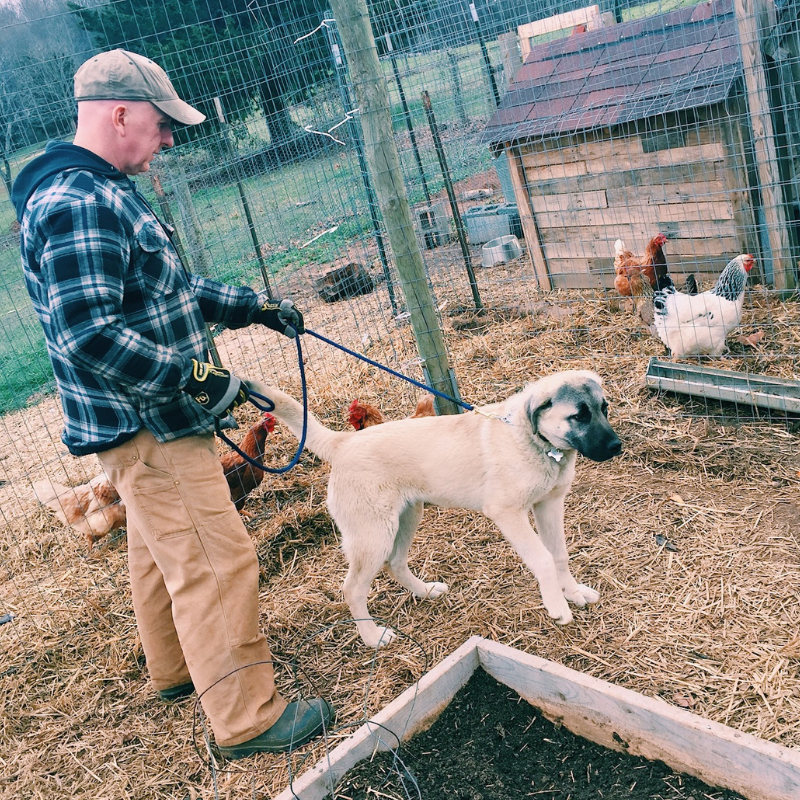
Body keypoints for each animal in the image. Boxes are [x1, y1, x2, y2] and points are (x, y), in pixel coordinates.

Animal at [248, 372, 620, 648]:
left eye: (604, 408)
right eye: (579, 416)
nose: (617, 446)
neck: (536, 442)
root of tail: (344, 442)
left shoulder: (549, 505)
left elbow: (559, 555)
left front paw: (573, 592)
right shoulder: (508, 513)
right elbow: (542, 558)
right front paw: (557, 606)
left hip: (407, 517)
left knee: (396, 564)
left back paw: (424, 592)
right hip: (373, 536)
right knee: (352, 589)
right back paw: (372, 637)